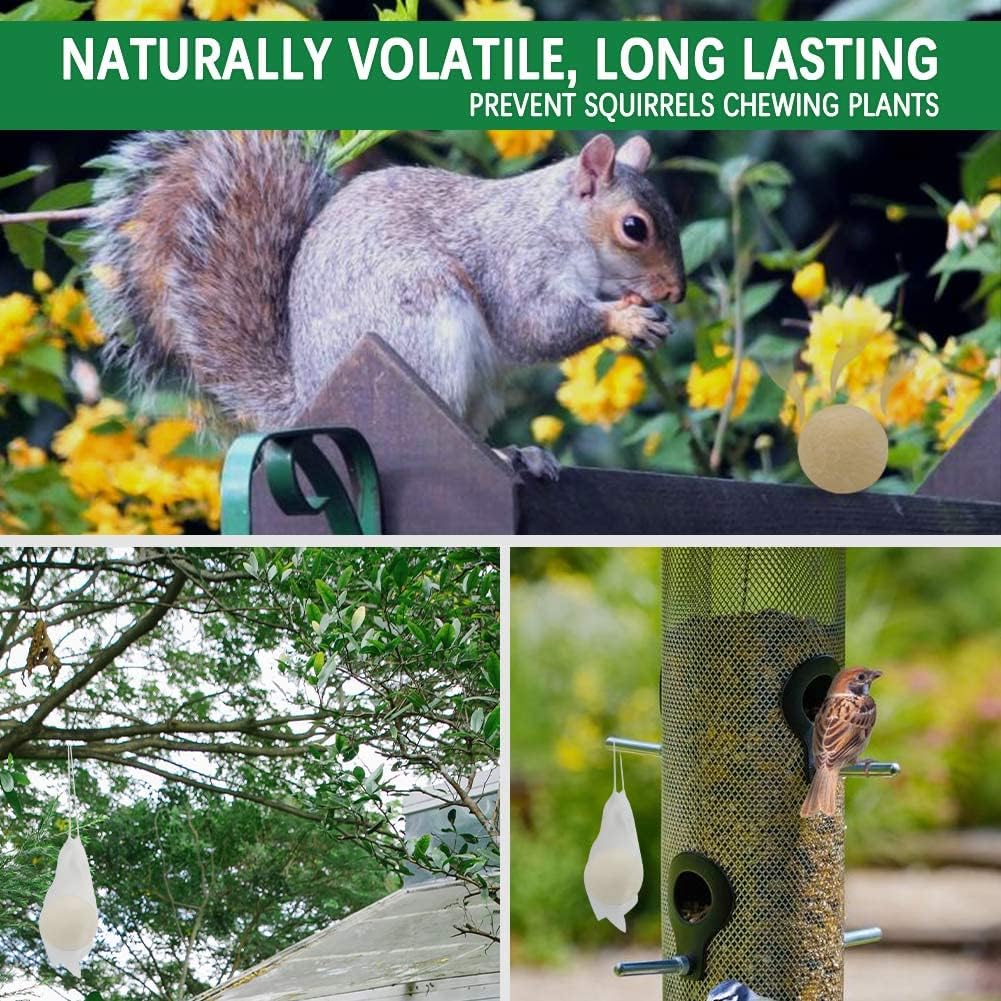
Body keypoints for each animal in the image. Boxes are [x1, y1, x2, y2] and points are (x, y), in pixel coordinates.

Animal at [85, 131, 685, 478]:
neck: (562, 226)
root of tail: (307, 392)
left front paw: (653, 318)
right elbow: (534, 326)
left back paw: (518, 454)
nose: (676, 292)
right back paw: (498, 457)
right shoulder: (514, 265)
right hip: (423, 324)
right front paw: (625, 316)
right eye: (635, 227)